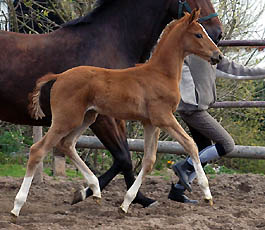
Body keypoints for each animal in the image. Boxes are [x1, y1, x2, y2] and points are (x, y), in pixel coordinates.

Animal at [0, 0, 221, 208]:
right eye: (198, 34)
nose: (218, 51)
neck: (159, 72)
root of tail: (59, 76)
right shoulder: (159, 118)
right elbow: (187, 145)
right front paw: (206, 193)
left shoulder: (149, 122)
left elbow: (143, 160)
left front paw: (129, 200)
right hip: (68, 120)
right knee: (38, 150)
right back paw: (17, 206)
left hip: (85, 118)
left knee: (66, 144)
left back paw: (92, 189)